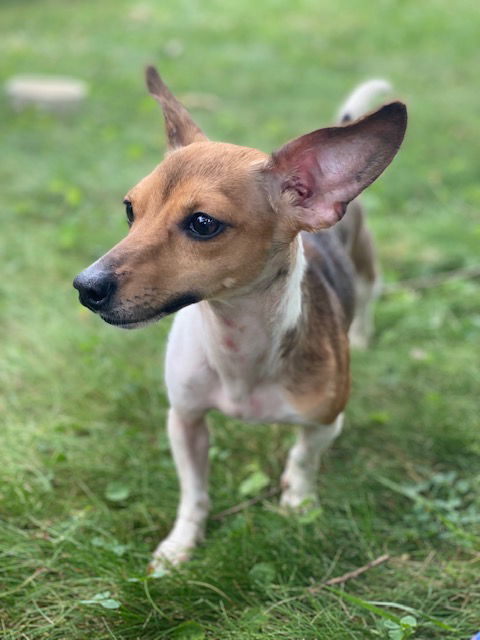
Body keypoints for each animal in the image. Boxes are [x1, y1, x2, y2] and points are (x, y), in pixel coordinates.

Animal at [73, 67, 406, 572]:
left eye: (203, 223)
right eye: (130, 209)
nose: (85, 287)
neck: (237, 347)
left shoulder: (326, 421)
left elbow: (303, 458)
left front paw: (297, 503)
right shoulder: (185, 419)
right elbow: (194, 493)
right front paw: (180, 546)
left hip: (366, 265)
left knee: (370, 293)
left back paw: (364, 335)